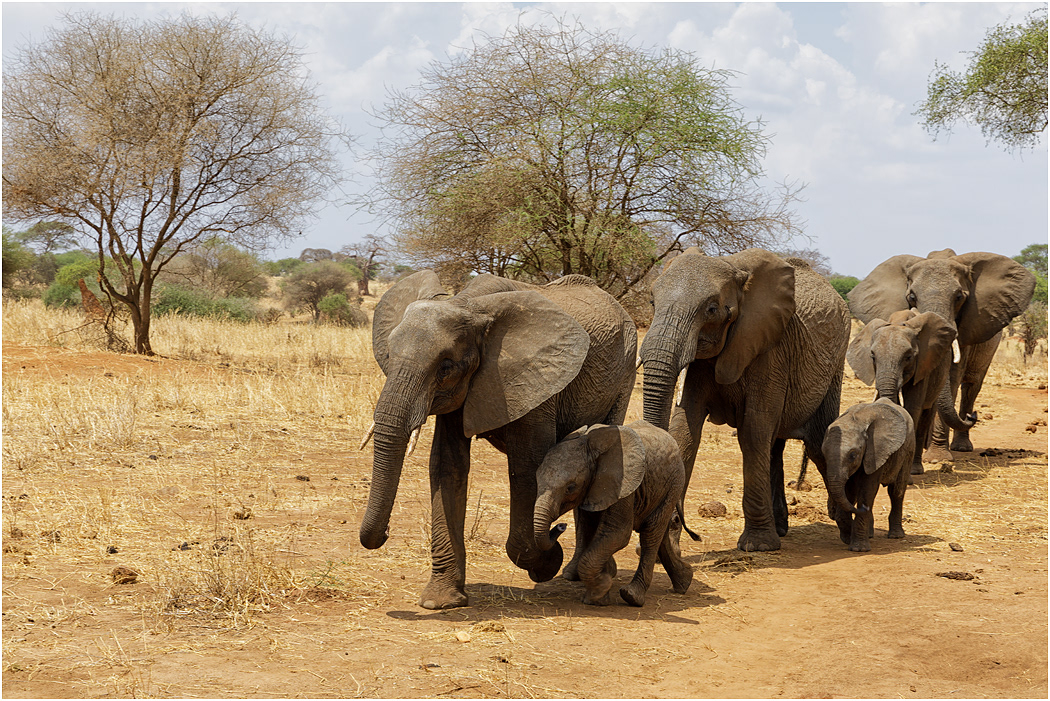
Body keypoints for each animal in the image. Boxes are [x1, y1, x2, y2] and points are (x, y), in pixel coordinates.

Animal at [360, 270, 637, 609]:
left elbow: (527, 469)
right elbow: (447, 466)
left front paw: (548, 562)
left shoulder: (533, 381)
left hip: (625, 370)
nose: (387, 532)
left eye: (445, 367)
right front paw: (442, 601)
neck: (466, 304)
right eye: (389, 354)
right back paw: (576, 573)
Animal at [532, 420, 694, 607]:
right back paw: (684, 583)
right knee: (660, 533)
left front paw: (599, 591)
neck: (589, 445)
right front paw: (601, 591)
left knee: (650, 534)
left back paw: (633, 596)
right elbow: (587, 528)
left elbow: (617, 533)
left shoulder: (623, 487)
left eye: (570, 487)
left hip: (674, 484)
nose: (561, 526)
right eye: (537, 479)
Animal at [638, 248, 851, 552]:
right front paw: (663, 547)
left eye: (711, 309)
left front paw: (758, 546)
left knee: (818, 442)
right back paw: (783, 528)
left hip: (834, 366)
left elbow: (753, 431)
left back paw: (848, 530)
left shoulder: (771, 348)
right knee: (776, 446)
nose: (693, 533)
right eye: (652, 302)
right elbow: (685, 430)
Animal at [823, 399, 916, 552]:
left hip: (909, 448)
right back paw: (870, 534)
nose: (862, 508)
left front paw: (859, 549)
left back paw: (896, 536)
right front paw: (848, 538)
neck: (856, 421)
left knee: (896, 491)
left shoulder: (876, 450)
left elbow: (867, 489)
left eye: (852, 455)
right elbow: (850, 490)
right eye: (823, 453)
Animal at [846, 310, 977, 474]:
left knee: (926, 414)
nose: (971, 415)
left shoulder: (923, 365)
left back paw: (916, 469)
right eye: (872, 357)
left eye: (908, 357)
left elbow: (913, 407)